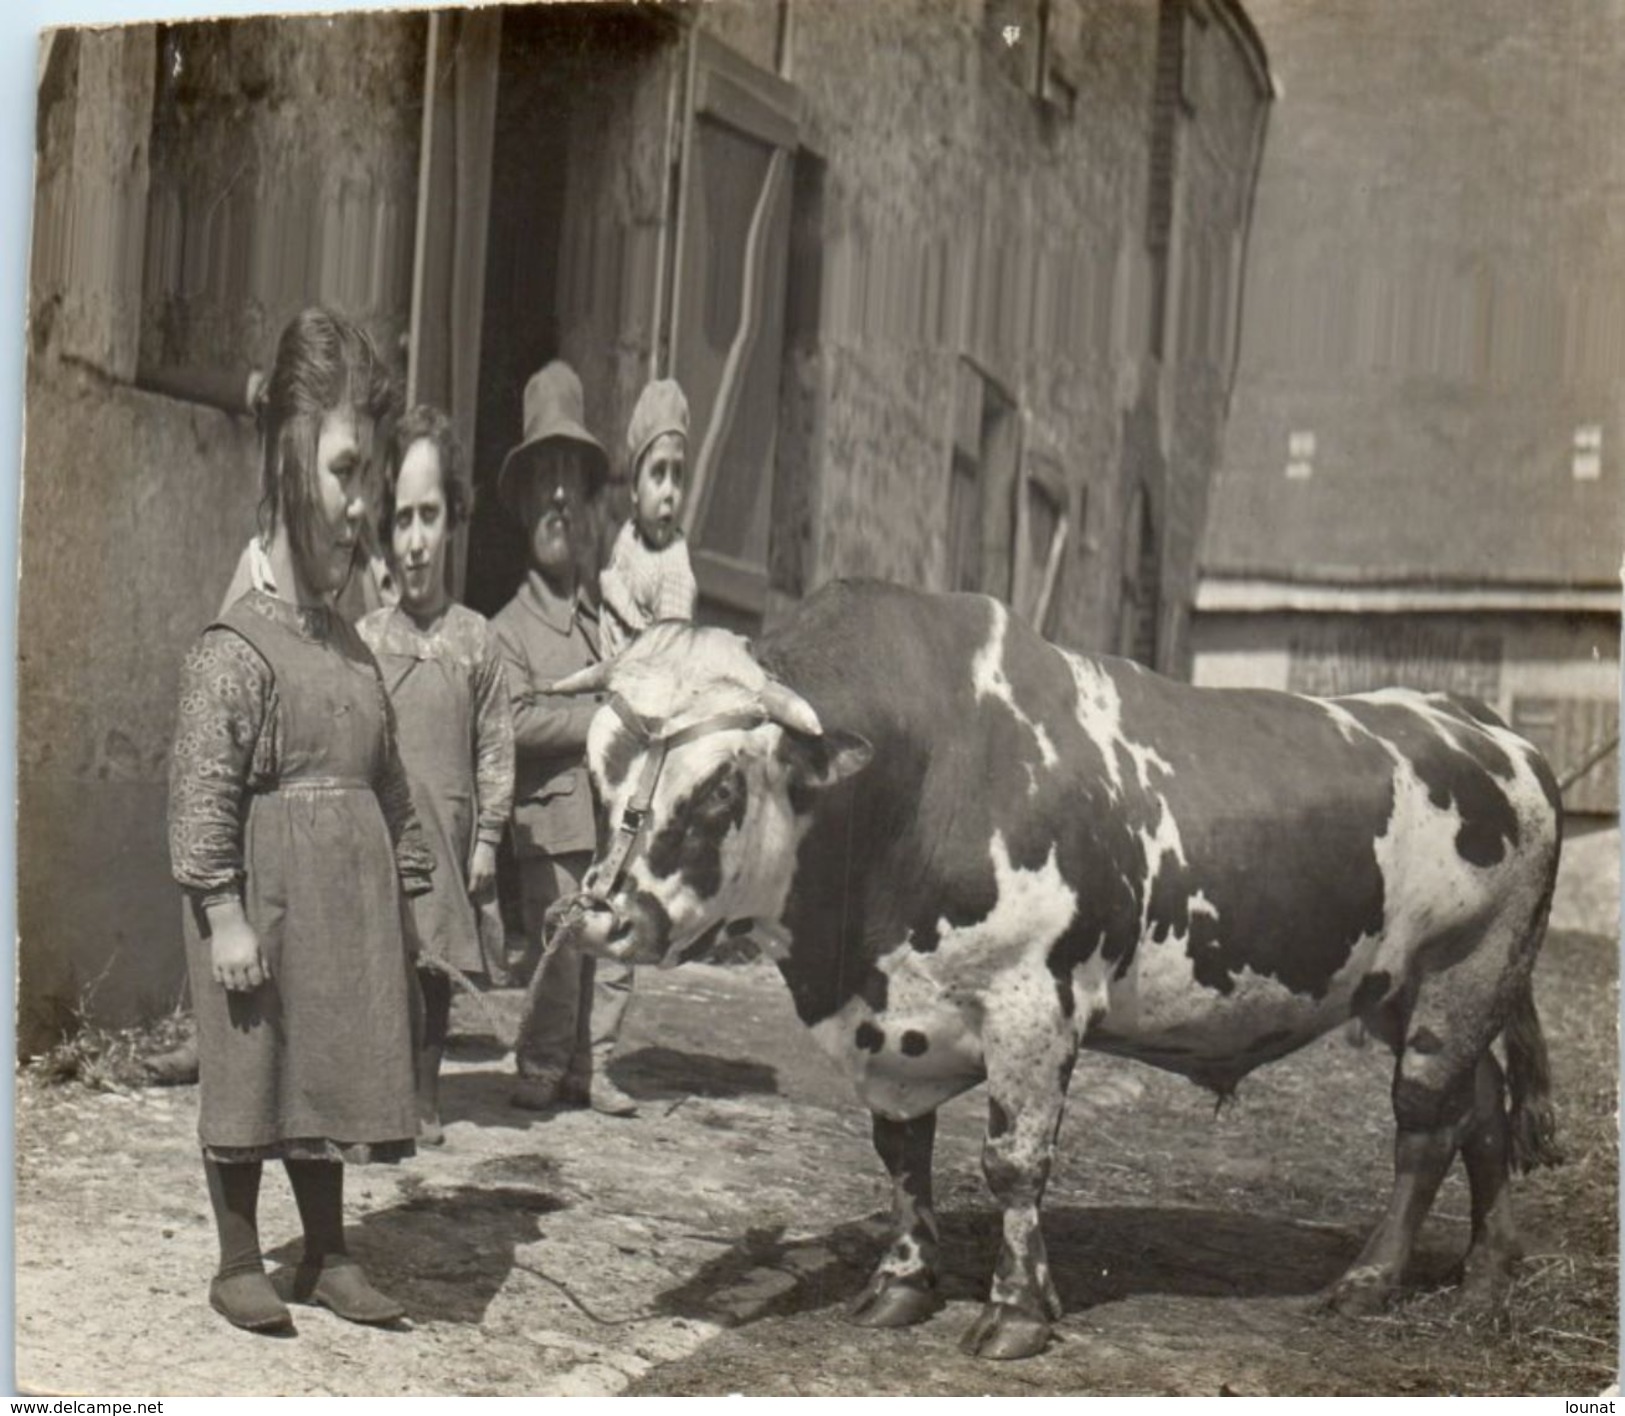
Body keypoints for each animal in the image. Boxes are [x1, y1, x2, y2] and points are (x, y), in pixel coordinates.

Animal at [542, 578, 1560, 1359]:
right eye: (595, 772)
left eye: (719, 786)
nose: (604, 919)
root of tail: (1489, 730)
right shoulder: (890, 1022)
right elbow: (900, 1154)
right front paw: (901, 1284)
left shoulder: (1033, 1003)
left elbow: (1013, 1164)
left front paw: (1016, 1313)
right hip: (1403, 988)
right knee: (1480, 1110)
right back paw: (1485, 1274)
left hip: (1471, 966)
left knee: (1426, 1125)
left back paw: (1370, 1278)